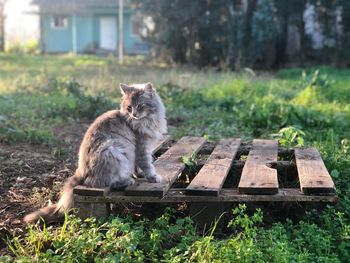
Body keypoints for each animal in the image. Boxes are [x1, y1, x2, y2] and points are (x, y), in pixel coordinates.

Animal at [23, 83, 167, 225]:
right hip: (113, 152)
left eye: (140, 105)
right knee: (104, 183)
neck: (147, 120)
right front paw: (153, 177)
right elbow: (147, 164)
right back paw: (127, 181)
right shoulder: (141, 147)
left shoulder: (138, 150)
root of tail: (80, 171)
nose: (134, 114)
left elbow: (137, 167)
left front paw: (140, 174)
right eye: (129, 107)